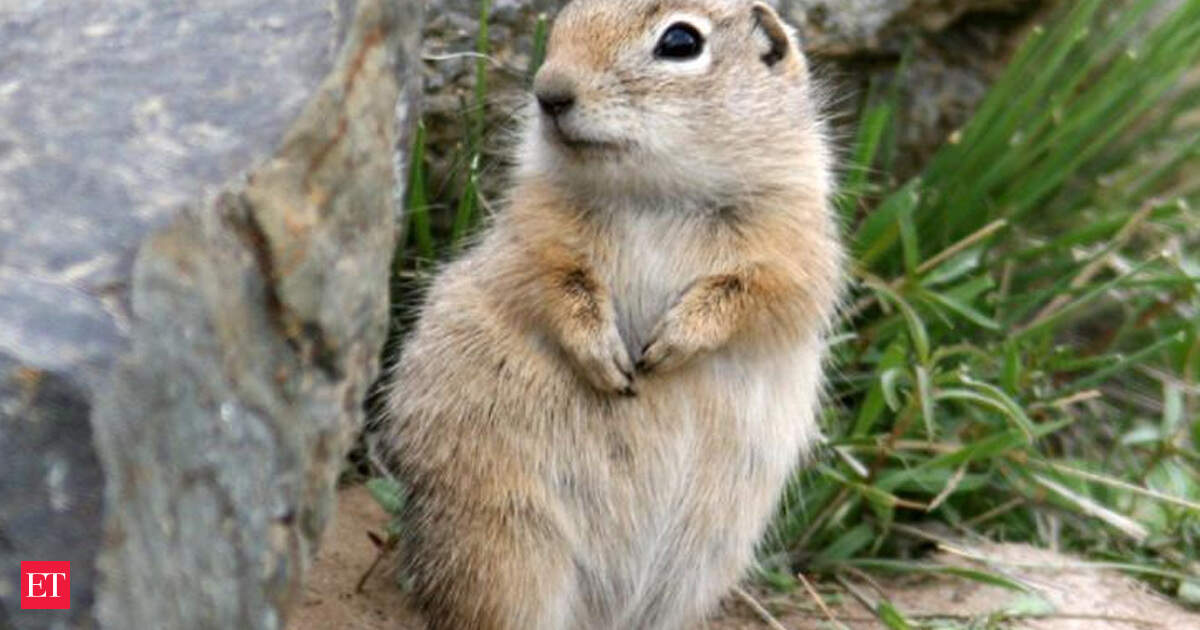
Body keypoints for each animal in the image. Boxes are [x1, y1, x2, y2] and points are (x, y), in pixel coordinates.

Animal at [380, 0, 843, 628]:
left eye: (681, 41)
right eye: (563, 19)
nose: (550, 92)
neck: (656, 194)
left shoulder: (794, 251)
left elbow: (755, 293)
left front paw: (665, 349)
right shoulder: (533, 235)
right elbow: (553, 282)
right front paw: (612, 364)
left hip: (695, 569)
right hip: (505, 541)